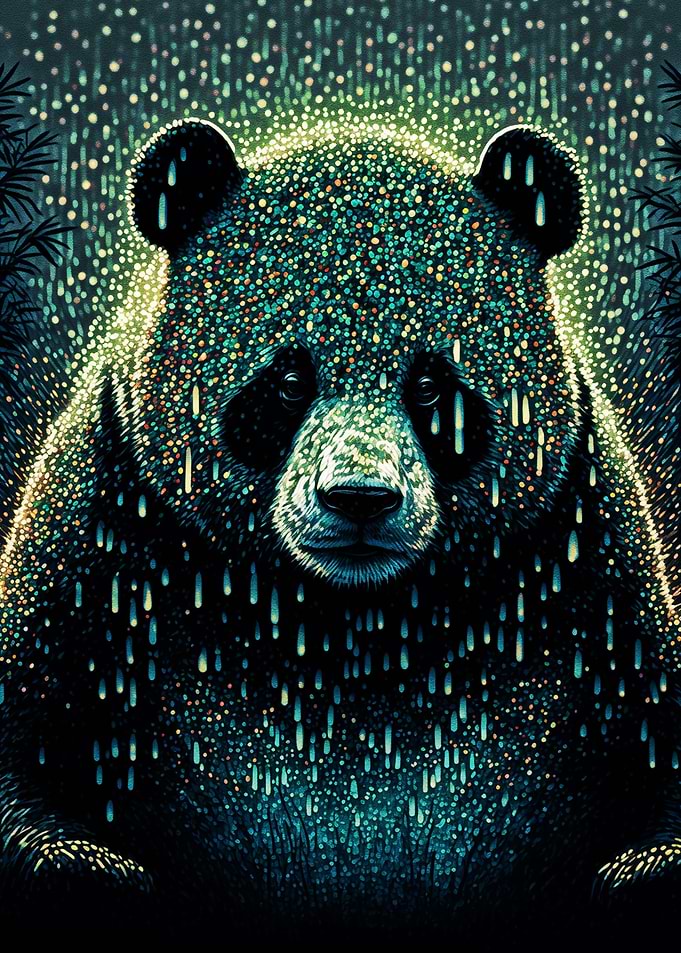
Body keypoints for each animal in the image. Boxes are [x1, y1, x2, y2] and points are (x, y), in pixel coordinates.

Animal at [0, 118, 679, 944]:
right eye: (288, 380)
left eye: (432, 385)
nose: (359, 497)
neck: (350, 626)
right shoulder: (106, 533)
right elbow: (29, 750)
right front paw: (97, 873)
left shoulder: (585, 561)